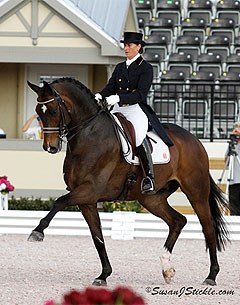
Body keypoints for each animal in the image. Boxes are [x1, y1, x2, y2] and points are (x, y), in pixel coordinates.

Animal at [26, 77, 229, 286]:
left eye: (53, 111)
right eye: (38, 112)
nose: (50, 147)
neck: (89, 134)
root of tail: (195, 141)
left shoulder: (89, 190)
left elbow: (59, 201)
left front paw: (37, 231)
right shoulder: (87, 201)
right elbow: (98, 238)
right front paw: (104, 275)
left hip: (196, 192)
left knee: (208, 228)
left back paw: (211, 276)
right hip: (151, 199)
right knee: (177, 221)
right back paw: (167, 268)